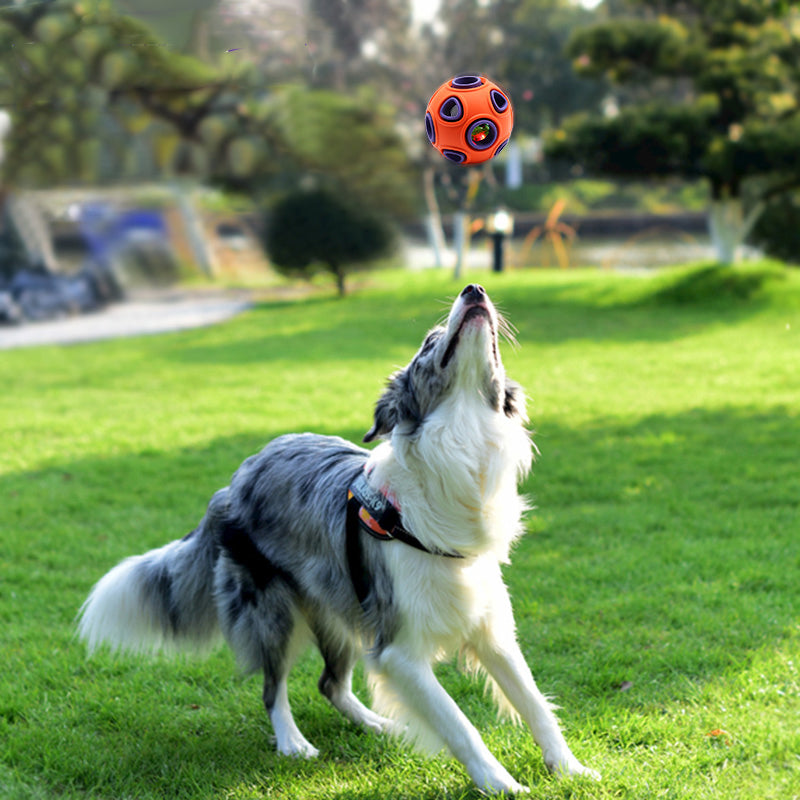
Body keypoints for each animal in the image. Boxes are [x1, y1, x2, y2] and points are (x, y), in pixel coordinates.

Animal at [78, 286, 600, 792]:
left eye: (493, 347)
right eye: (428, 344)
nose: (474, 289)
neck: (462, 442)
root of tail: (235, 480)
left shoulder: (490, 629)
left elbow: (534, 703)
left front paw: (571, 770)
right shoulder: (399, 649)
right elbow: (459, 723)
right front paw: (501, 784)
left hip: (338, 610)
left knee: (331, 684)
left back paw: (383, 726)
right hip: (274, 612)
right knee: (273, 687)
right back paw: (293, 742)